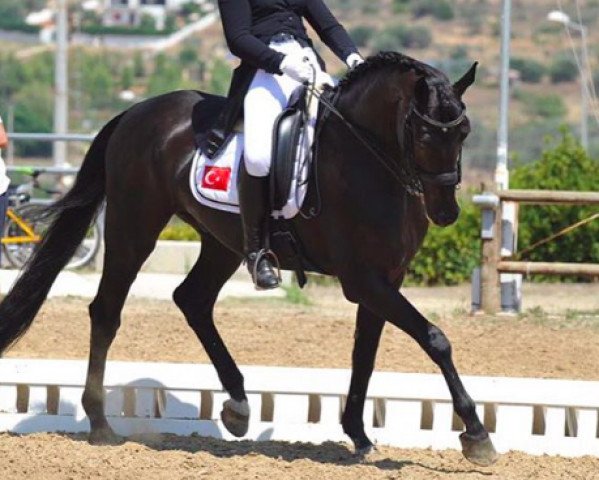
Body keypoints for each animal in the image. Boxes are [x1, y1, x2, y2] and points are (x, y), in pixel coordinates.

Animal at [0, 52, 496, 464]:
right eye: (426, 131)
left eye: (464, 131)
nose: (447, 212)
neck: (368, 158)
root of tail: (135, 113)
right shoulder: (364, 279)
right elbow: (434, 339)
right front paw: (476, 435)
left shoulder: (384, 279)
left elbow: (365, 355)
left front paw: (358, 435)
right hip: (133, 227)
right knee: (107, 310)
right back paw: (101, 424)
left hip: (222, 242)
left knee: (192, 300)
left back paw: (238, 404)